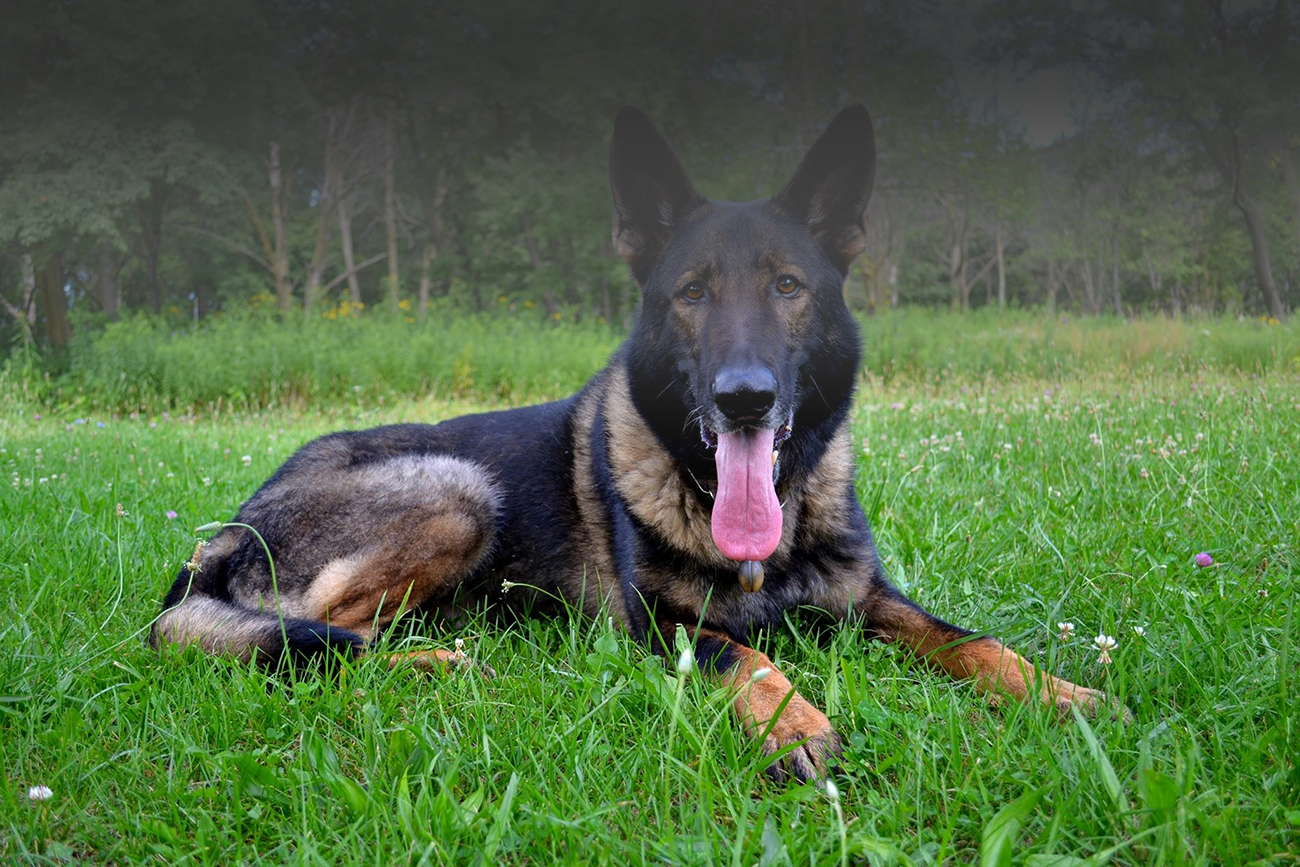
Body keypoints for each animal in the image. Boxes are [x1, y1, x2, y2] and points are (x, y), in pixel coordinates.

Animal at [150, 104, 1116, 782]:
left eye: (788, 286)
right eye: (691, 292)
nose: (743, 397)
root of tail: (224, 533)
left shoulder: (872, 597)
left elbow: (971, 641)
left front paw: (1060, 691)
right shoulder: (662, 625)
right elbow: (749, 652)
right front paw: (793, 723)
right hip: (456, 489)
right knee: (309, 637)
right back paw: (431, 663)